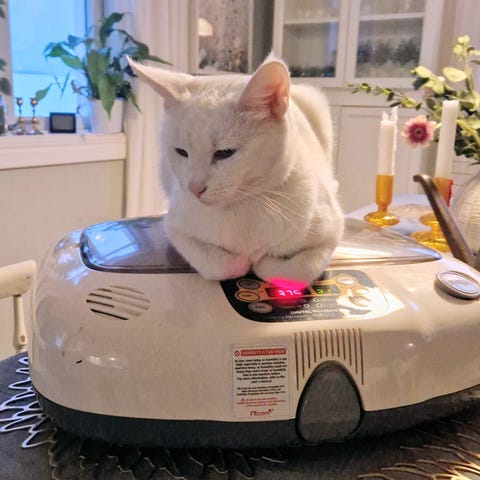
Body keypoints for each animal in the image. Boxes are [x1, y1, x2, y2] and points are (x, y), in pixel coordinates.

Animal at [128, 54, 344, 287]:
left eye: (225, 152)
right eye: (181, 152)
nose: (194, 188)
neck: (241, 210)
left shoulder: (332, 232)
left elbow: (298, 269)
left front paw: (264, 262)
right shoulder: (176, 228)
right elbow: (220, 266)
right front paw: (243, 262)